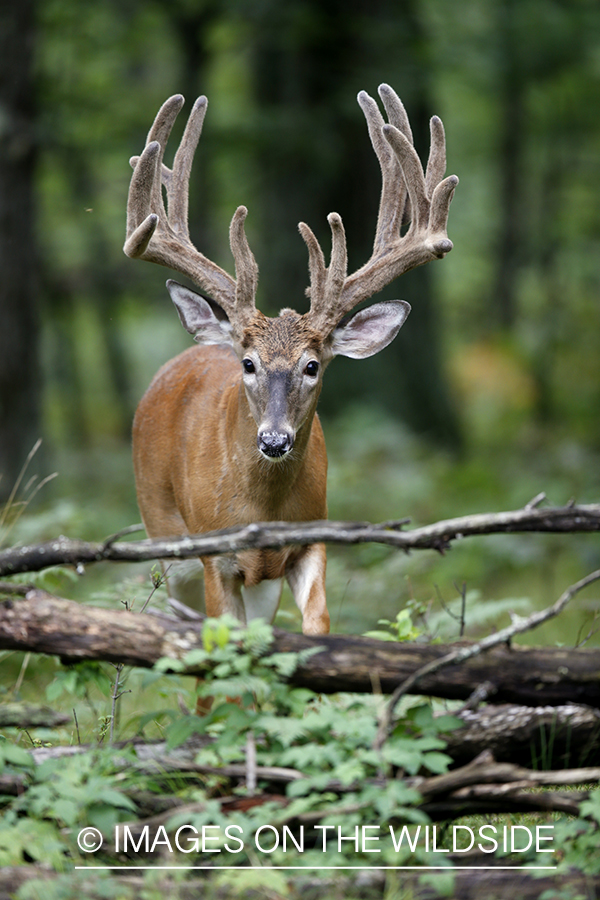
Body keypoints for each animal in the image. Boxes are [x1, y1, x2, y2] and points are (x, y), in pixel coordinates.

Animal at [124, 81, 458, 636]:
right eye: (248, 364)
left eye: (312, 365)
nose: (275, 440)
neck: (264, 507)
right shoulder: (215, 557)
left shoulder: (314, 538)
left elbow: (317, 623)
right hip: (163, 534)